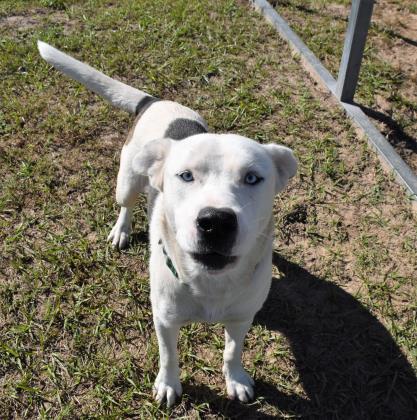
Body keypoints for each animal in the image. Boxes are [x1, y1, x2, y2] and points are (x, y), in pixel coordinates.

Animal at [36, 41, 296, 406]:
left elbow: (233, 350)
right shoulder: (165, 319)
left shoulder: (242, 317)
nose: (216, 221)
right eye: (185, 175)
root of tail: (153, 101)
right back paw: (121, 230)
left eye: (252, 178)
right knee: (127, 204)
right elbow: (168, 354)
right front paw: (168, 384)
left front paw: (236, 379)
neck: (209, 283)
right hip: (127, 180)